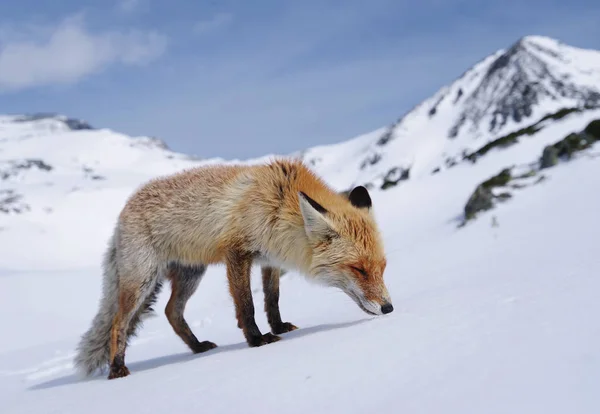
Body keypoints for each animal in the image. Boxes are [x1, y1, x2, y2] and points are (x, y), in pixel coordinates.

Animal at [74, 158, 394, 378]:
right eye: (358, 269)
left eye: (382, 267)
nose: (388, 308)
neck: (278, 203)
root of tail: (122, 213)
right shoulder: (237, 254)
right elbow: (246, 305)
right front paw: (257, 339)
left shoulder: (270, 259)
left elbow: (272, 300)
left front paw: (279, 327)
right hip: (141, 281)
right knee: (119, 324)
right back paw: (117, 368)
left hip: (191, 275)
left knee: (171, 312)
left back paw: (197, 347)